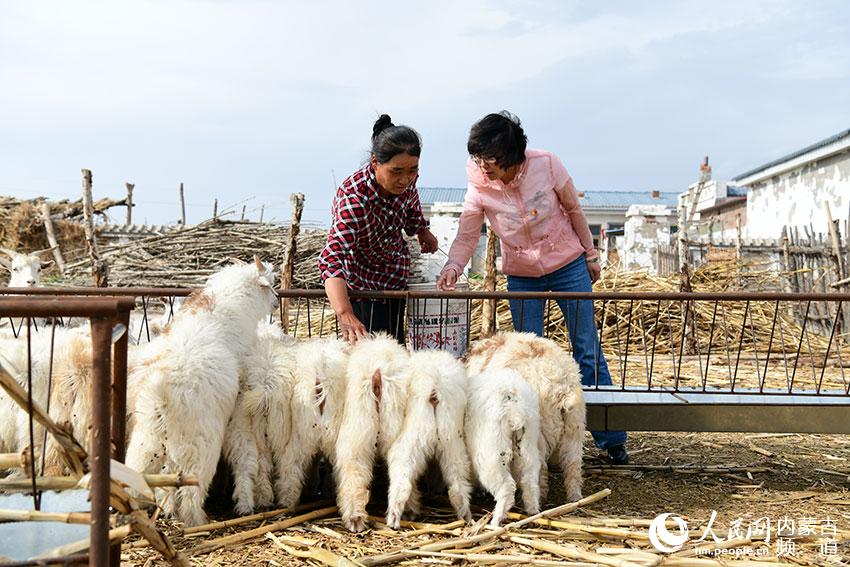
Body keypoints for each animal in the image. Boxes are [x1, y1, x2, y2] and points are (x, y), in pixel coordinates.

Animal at [124, 258, 276, 528]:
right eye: (270, 284)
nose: (277, 302)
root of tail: (162, 390)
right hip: (201, 440)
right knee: (192, 485)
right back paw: (197, 521)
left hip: (148, 435)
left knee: (140, 470)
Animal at [384, 350, 470, 532]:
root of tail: (434, 391)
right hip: (453, 446)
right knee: (457, 486)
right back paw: (466, 517)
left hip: (409, 445)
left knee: (401, 484)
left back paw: (393, 521)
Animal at [460, 368, 540, 528]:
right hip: (527, 446)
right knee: (529, 480)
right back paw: (533, 512)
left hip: (492, 453)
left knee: (506, 487)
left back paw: (495, 521)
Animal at [464, 336, 584, 504]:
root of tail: (562, 386)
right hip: (575, 427)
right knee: (573, 465)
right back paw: (575, 498)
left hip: (539, 433)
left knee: (540, 469)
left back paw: (540, 497)